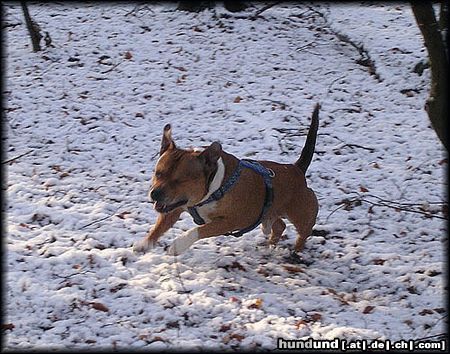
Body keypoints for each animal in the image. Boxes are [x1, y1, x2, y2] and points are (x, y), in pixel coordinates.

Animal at [134, 103, 320, 256]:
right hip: (270, 211)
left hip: (301, 214)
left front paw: (178, 246)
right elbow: (160, 227)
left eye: (180, 180)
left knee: (304, 231)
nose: (155, 194)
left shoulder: (228, 222)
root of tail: (297, 169)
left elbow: (198, 230)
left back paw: (296, 251)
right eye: (158, 173)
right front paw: (145, 243)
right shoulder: (173, 208)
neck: (213, 187)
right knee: (279, 225)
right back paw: (270, 244)